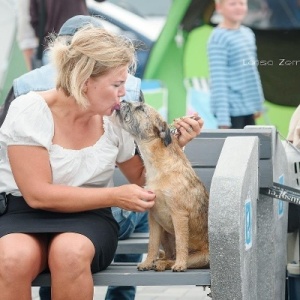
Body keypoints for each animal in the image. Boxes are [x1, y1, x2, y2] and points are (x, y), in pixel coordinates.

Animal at [115, 101, 209, 272]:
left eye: (141, 108)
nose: (123, 101)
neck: (158, 166)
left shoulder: (179, 215)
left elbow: (181, 243)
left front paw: (180, 264)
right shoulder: (153, 216)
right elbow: (152, 243)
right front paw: (147, 262)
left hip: (202, 256)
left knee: (179, 257)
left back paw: (169, 263)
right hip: (165, 233)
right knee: (168, 253)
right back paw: (159, 261)